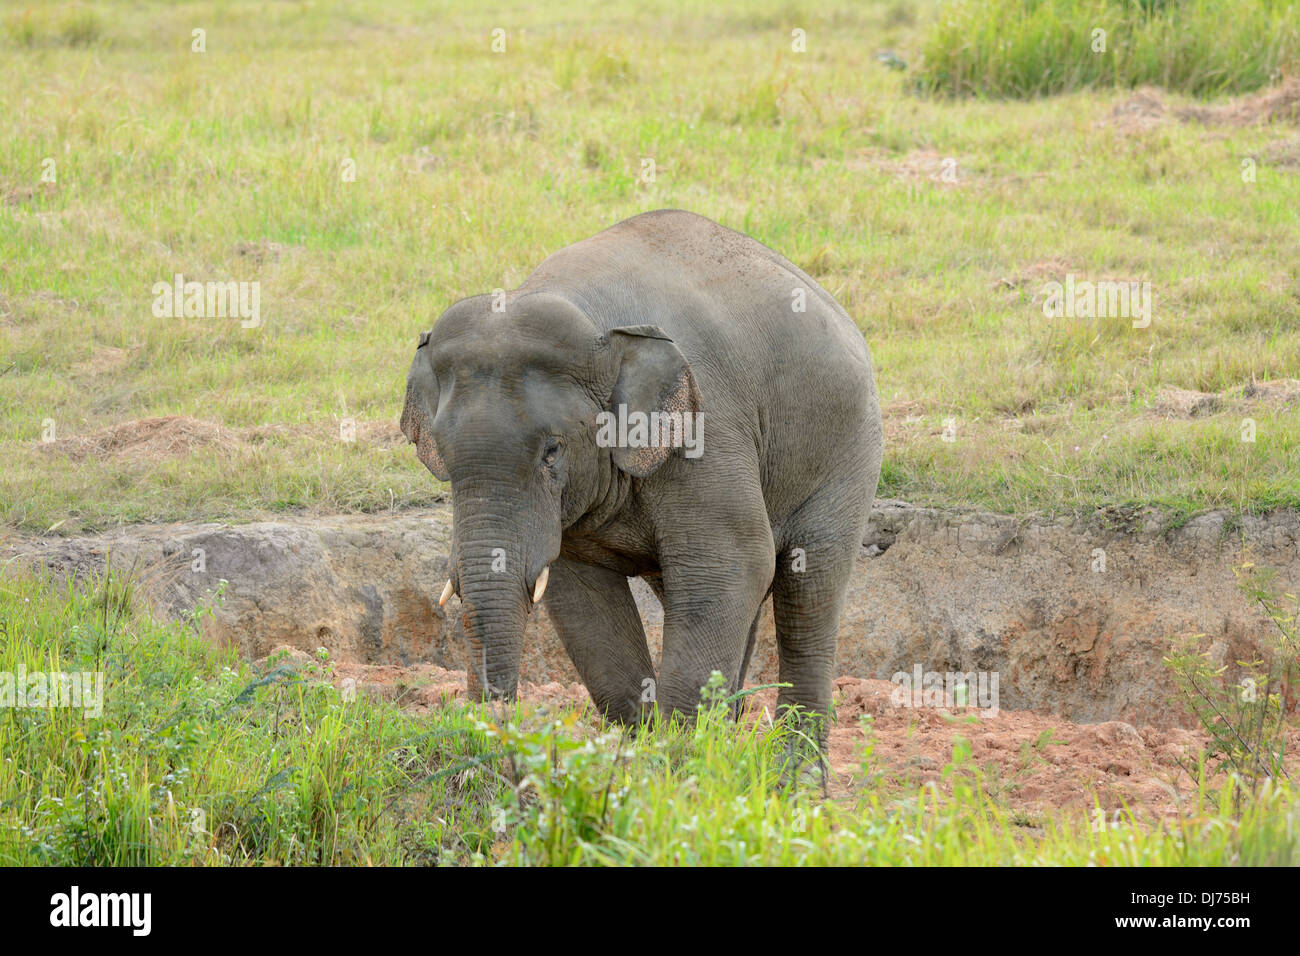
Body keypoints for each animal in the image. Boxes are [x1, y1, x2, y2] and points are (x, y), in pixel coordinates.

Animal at [400, 209, 883, 738]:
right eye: (443, 457)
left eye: (552, 451)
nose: (497, 718)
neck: (594, 320)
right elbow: (580, 596)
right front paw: (645, 750)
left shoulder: (708, 429)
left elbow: (731, 565)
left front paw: (679, 754)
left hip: (849, 452)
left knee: (808, 591)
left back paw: (789, 761)